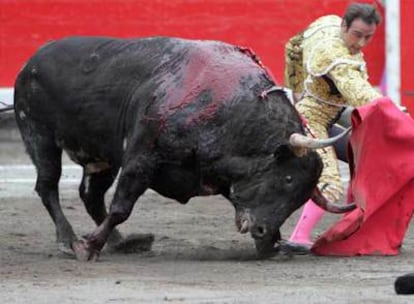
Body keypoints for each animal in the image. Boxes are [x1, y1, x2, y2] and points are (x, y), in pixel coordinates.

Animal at [13, 36, 352, 260]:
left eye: (300, 197)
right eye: (288, 178)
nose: (263, 233)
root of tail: (31, 62)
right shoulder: (141, 157)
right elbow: (122, 207)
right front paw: (89, 248)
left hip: (101, 158)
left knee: (91, 196)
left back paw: (123, 243)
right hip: (40, 135)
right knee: (48, 187)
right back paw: (70, 240)